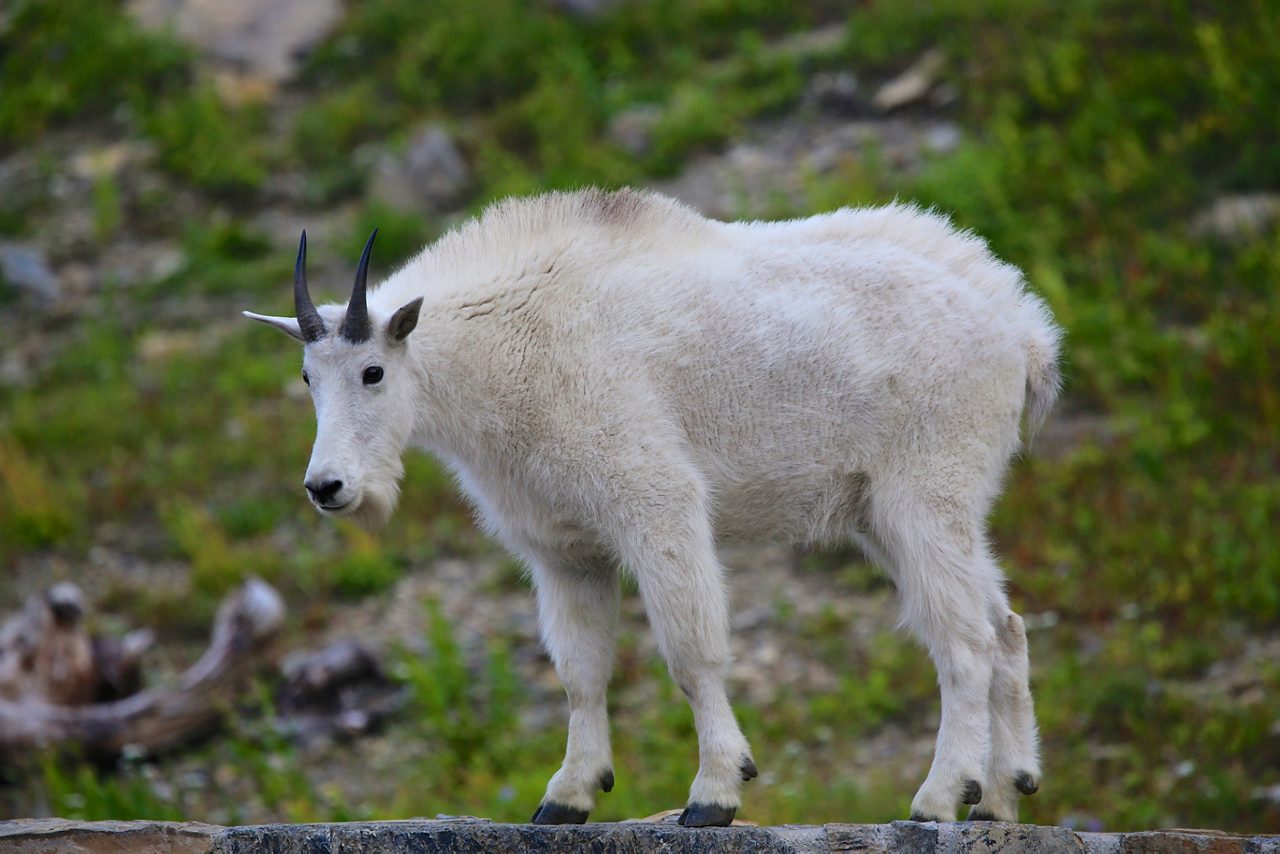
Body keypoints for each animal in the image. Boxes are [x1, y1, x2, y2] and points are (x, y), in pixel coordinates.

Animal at [245, 188, 1062, 827]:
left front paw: (715, 792)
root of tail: (1024, 335)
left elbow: (691, 652)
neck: (510, 347)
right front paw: (568, 796)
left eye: (373, 372)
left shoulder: (656, 504)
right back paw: (1002, 797)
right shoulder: (564, 551)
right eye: (308, 378)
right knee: (1006, 625)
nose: (328, 487)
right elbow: (580, 672)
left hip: (924, 492)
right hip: (895, 514)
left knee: (964, 642)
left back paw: (939, 798)